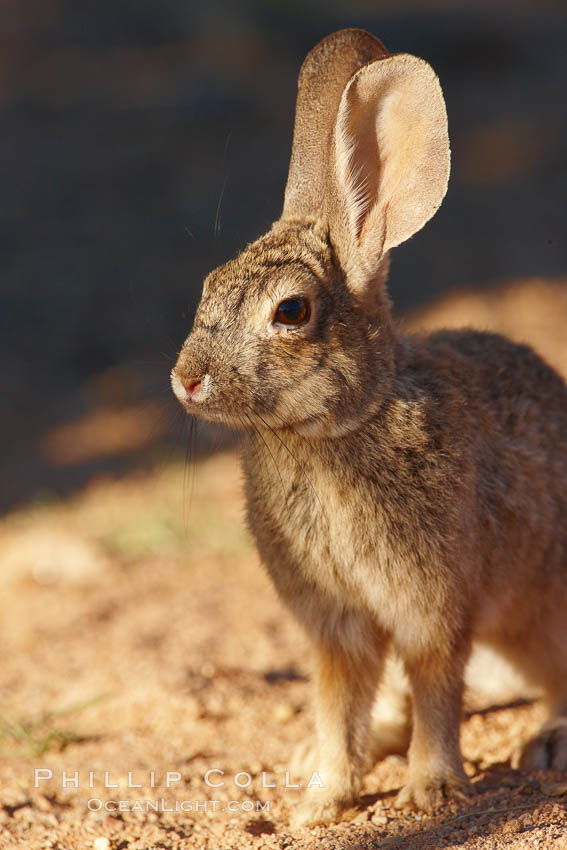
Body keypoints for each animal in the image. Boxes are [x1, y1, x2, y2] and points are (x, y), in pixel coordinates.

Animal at [172, 29, 567, 824]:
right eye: (209, 285)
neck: (332, 436)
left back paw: (548, 741)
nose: (185, 378)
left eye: (291, 311)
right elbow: (337, 699)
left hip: (542, 609)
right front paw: (322, 797)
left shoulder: (430, 604)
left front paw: (432, 793)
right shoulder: (335, 622)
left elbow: (436, 686)